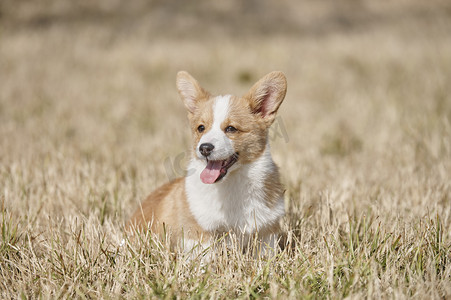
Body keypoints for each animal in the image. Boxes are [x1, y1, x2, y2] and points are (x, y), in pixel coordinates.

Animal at [129, 71, 288, 255]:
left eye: (231, 128)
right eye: (201, 128)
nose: (204, 148)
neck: (231, 184)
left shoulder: (266, 235)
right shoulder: (197, 234)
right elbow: (206, 256)